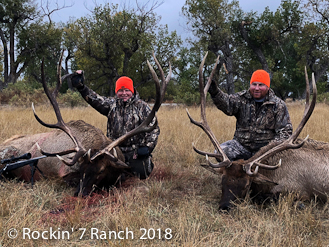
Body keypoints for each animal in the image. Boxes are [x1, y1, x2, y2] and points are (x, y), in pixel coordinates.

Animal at [187, 52, 328, 210]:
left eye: (246, 185)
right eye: (222, 181)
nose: (224, 207)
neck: (272, 173)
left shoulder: (300, 191)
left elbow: (268, 198)